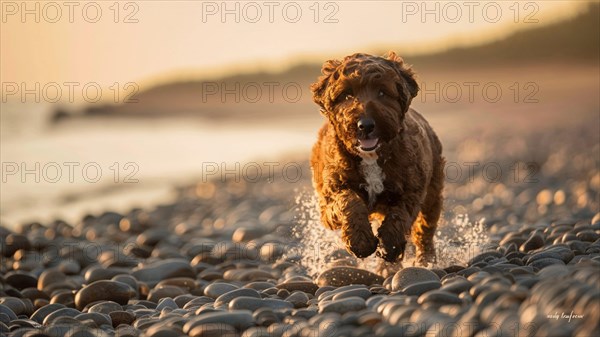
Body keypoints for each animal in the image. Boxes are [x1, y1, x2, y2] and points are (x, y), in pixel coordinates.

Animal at [310, 51, 446, 266]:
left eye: (382, 92)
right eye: (346, 95)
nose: (365, 125)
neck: (371, 158)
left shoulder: (411, 190)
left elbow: (400, 214)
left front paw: (389, 245)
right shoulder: (329, 198)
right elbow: (349, 202)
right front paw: (360, 241)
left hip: (433, 193)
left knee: (425, 229)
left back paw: (426, 260)